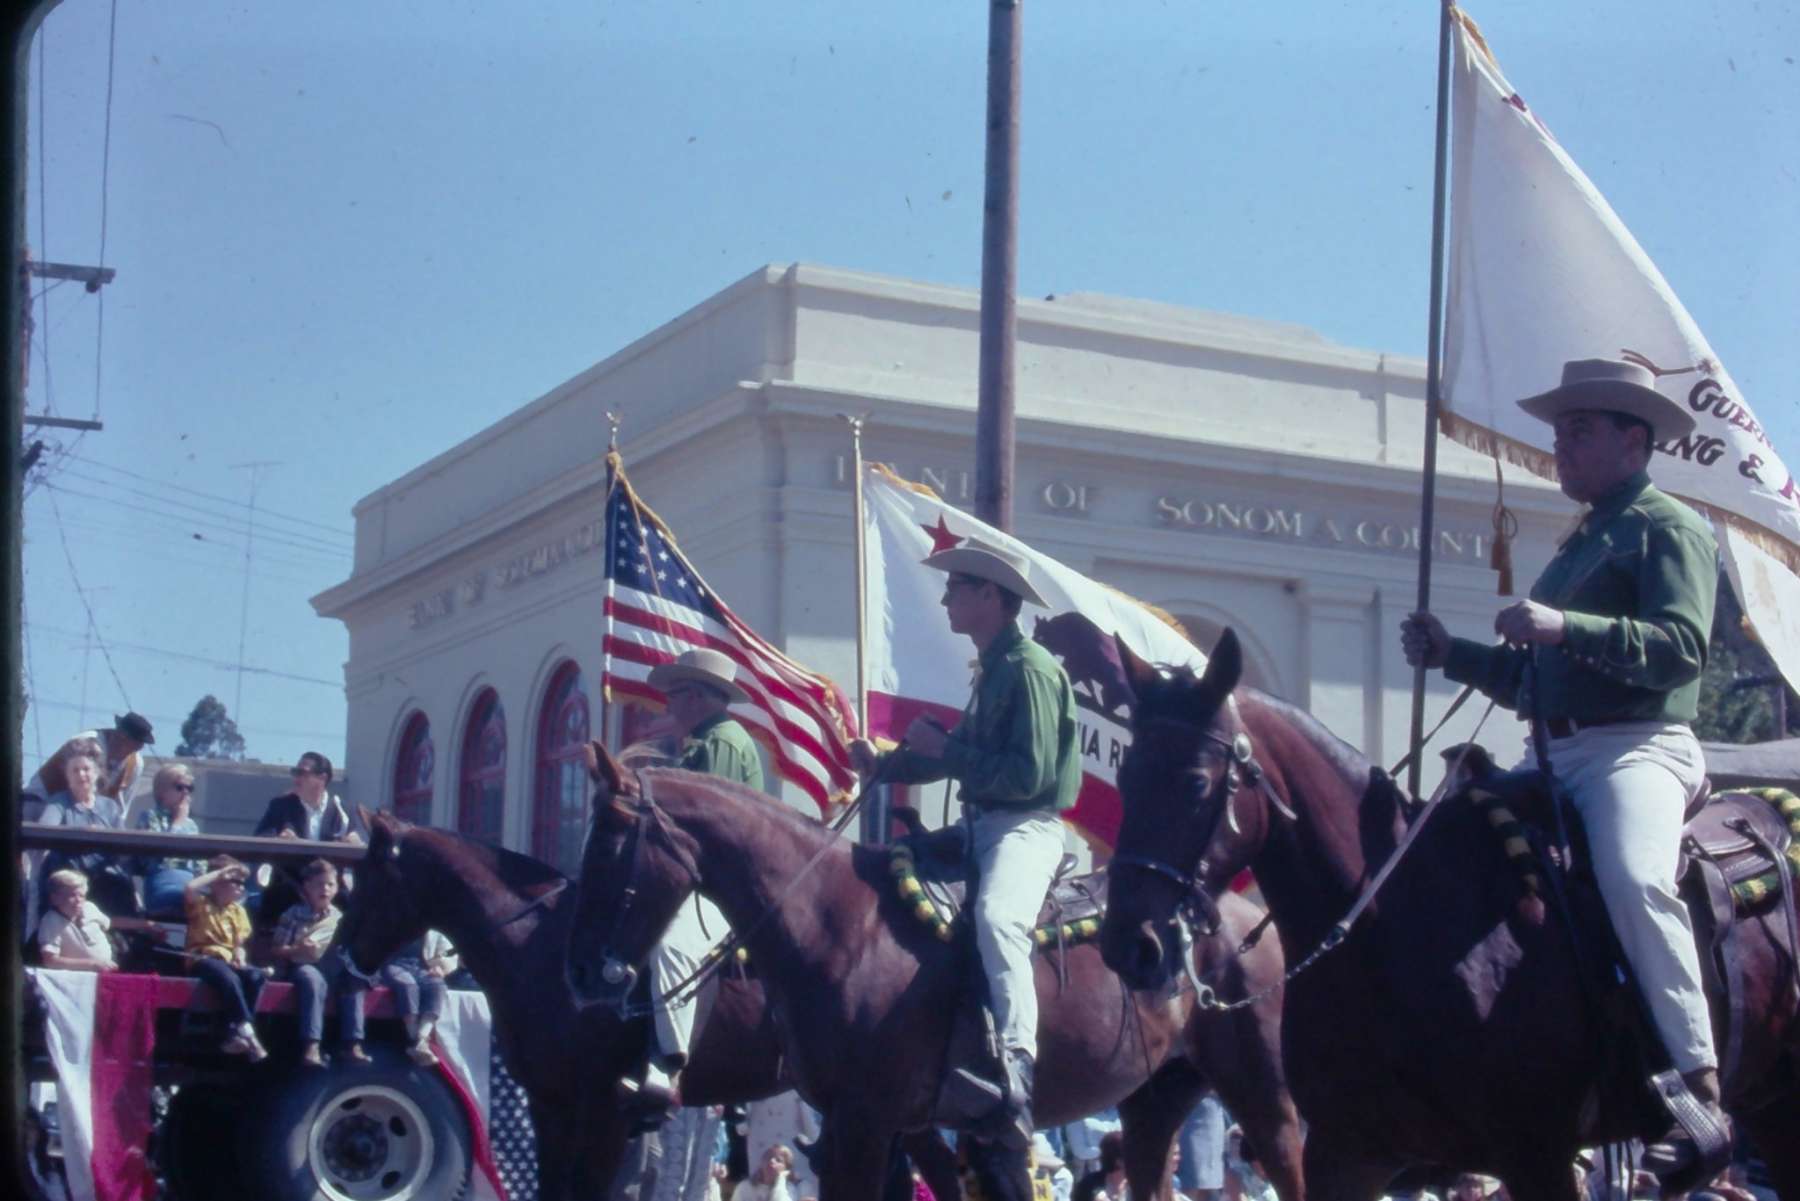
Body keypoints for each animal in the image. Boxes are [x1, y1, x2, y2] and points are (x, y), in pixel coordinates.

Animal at [564, 741, 1306, 1201]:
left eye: (608, 844)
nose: (579, 977)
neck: (836, 922)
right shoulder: (895, 1127)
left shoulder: (867, 1121)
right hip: (1157, 1097)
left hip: (1263, 1094)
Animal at [1097, 629, 1800, 1201]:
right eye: (1125, 775)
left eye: (1195, 782)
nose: (1129, 945)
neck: (1390, 935)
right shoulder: (1347, 1153)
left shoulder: (1536, 1156)